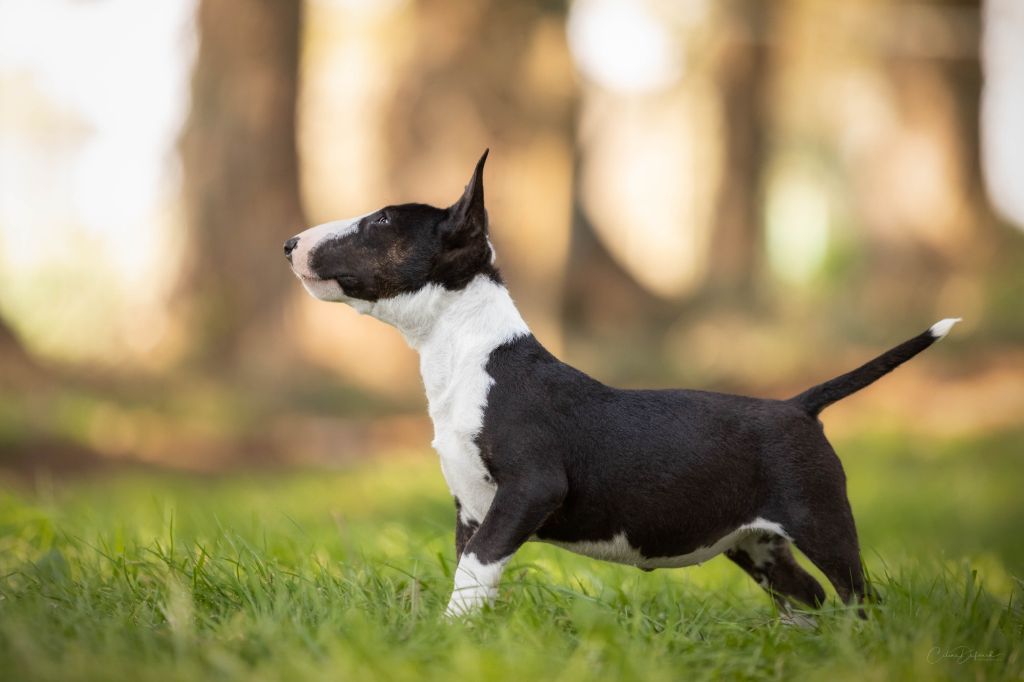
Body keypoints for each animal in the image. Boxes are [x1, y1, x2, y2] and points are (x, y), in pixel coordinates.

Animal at [286, 151, 958, 618]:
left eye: (380, 220)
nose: (291, 242)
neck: (470, 358)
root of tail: (798, 406)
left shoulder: (531, 487)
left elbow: (477, 569)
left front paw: (450, 634)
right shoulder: (471, 508)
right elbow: (474, 571)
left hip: (821, 519)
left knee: (858, 597)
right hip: (756, 544)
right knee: (808, 598)